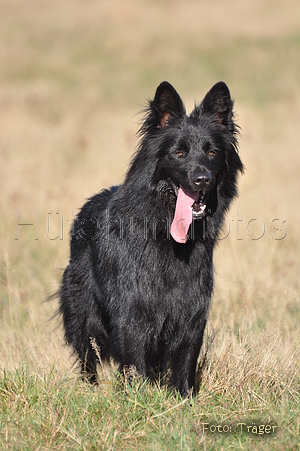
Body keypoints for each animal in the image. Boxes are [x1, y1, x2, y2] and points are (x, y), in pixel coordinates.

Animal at [59, 82, 244, 400]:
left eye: (211, 152)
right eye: (179, 152)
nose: (203, 179)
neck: (167, 237)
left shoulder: (191, 313)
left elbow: (185, 362)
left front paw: (183, 400)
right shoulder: (134, 313)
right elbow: (135, 362)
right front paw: (139, 399)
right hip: (83, 313)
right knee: (88, 357)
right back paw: (90, 391)